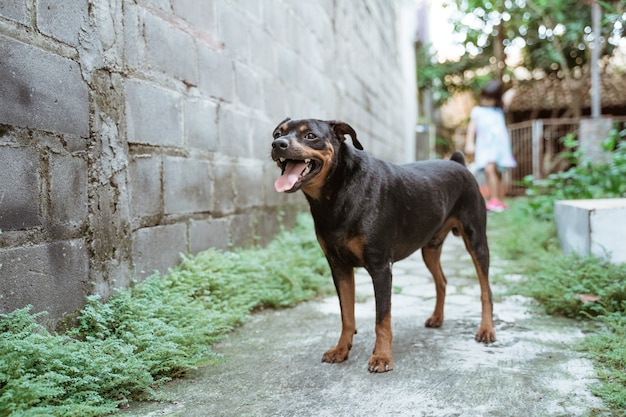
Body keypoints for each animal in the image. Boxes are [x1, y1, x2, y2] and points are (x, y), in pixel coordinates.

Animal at [270, 118, 494, 374]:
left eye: (310, 135)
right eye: (277, 133)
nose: (278, 144)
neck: (338, 192)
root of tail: (458, 164)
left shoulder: (380, 267)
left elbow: (382, 319)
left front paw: (382, 357)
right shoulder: (338, 267)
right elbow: (347, 314)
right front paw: (341, 349)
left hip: (476, 241)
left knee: (486, 290)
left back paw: (486, 330)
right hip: (429, 248)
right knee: (442, 281)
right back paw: (437, 318)